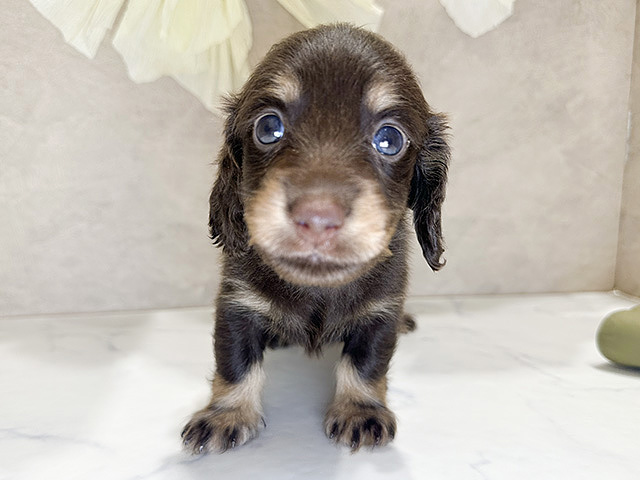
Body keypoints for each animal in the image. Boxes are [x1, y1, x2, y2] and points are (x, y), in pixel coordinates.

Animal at [180, 23, 450, 454]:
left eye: (390, 138)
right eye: (268, 128)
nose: (318, 218)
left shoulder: (381, 310)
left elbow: (366, 363)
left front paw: (360, 410)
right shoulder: (237, 303)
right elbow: (235, 363)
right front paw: (226, 415)